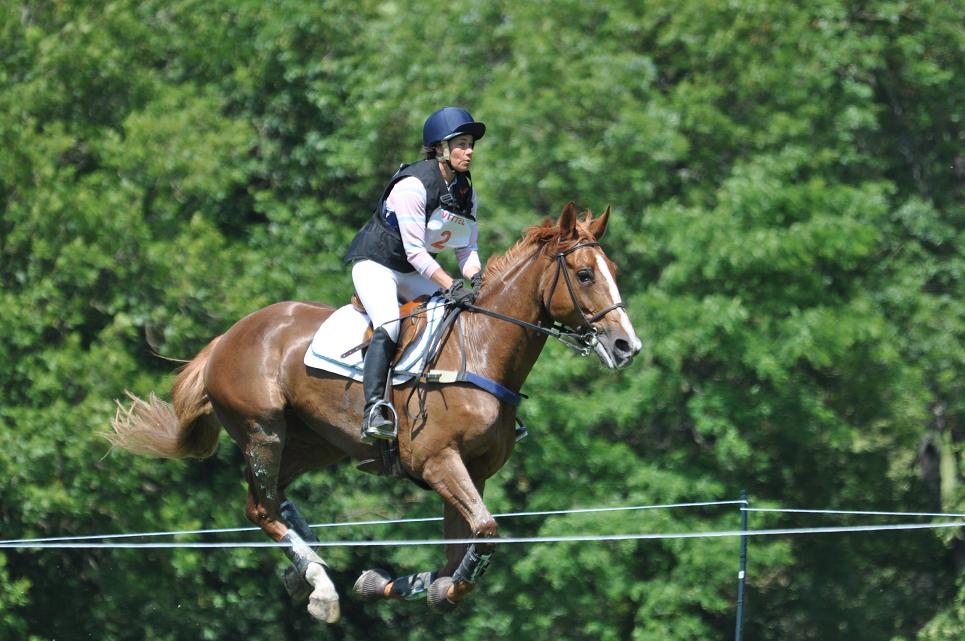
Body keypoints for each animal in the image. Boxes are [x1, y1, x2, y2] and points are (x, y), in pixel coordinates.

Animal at [107, 200, 640, 620]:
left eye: (613, 269)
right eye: (585, 274)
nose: (626, 346)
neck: (482, 347)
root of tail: (225, 338)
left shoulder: (473, 473)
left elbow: (455, 556)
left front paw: (392, 584)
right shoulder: (438, 461)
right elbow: (484, 535)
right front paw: (417, 587)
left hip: (313, 443)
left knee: (275, 498)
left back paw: (305, 568)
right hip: (264, 431)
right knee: (261, 506)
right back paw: (320, 586)